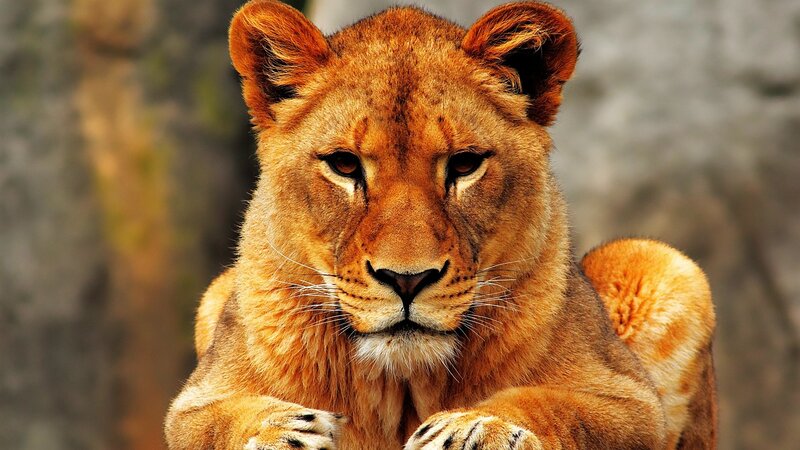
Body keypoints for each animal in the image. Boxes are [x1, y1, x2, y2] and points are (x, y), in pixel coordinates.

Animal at [164, 1, 717, 449]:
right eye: (344, 165)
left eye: (465, 164)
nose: (406, 279)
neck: (404, 387)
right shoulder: (196, 399)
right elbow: (210, 421)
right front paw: (282, 429)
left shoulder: (629, 399)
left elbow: (555, 404)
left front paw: (475, 426)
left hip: (662, 265)